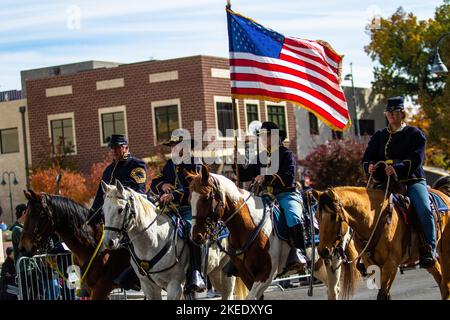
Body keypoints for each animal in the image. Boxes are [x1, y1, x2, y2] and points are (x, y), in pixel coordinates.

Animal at [100, 180, 241, 300]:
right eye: (103, 210)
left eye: (120, 209)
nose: (108, 242)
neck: (153, 242)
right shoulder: (149, 287)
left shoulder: (175, 285)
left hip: (224, 275)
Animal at [187, 165, 352, 300]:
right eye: (190, 200)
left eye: (206, 197)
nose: (196, 236)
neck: (248, 227)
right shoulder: (246, 274)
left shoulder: (266, 273)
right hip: (317, 264)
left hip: (333, 259)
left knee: (333, 290)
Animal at [312, 186, 450, 298]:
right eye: (317, 216)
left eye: (333, 216)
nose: (323, 251)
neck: (373, 221)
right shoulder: (371, 264)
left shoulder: (391, 265)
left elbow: (383, 294)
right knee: (441, 282)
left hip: (444, 252)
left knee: (445, 285)